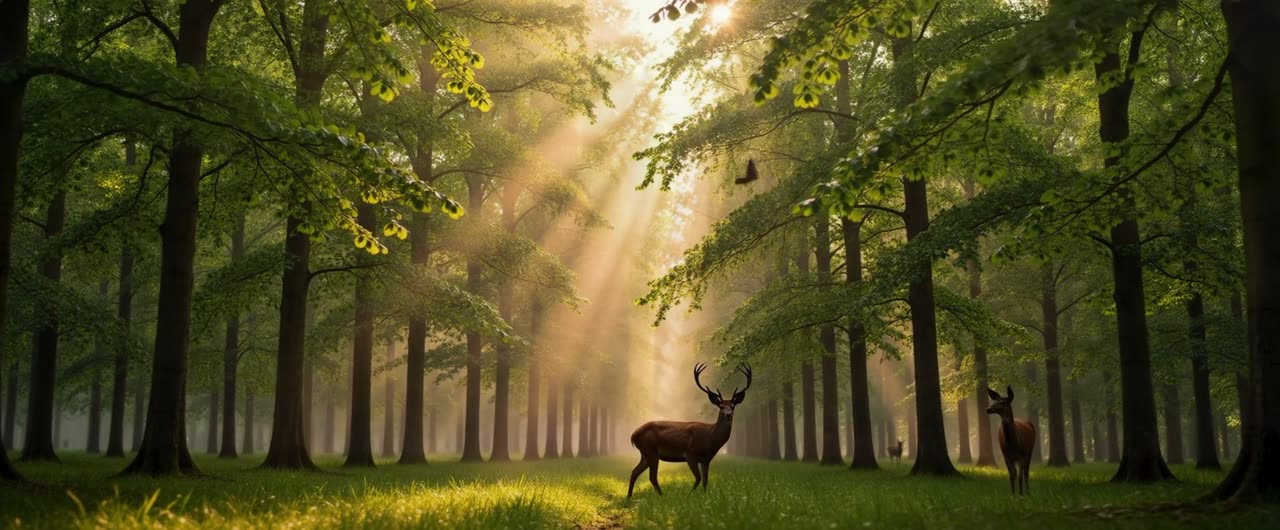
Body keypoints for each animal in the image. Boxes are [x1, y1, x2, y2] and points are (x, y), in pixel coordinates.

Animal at [626, 362, 752, 498]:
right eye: (721, 406)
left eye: (732, 406)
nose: (728, 414)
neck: (711, 438)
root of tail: (633, 435)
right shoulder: (690, 454)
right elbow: (698, 478)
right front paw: (690, 495)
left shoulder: (706, 459)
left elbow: (705, 480)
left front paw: (704, 496)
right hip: (651, 450)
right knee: (652, 477)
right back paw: (662, 496)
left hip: (645, 453)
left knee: (635, 471)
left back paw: (629, 497)